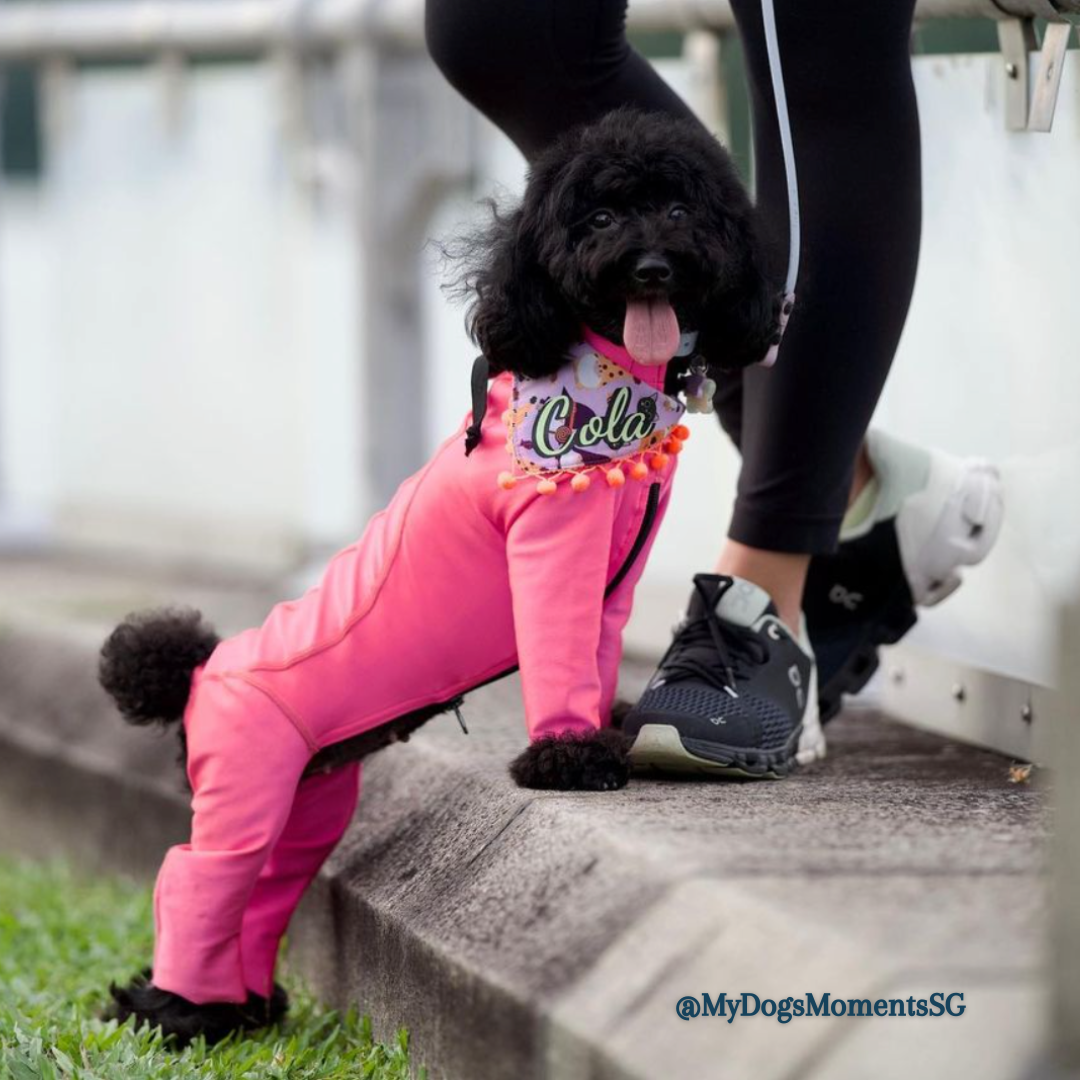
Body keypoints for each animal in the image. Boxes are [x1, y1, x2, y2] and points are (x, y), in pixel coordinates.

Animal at [99, 109, 777, 1045]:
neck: (604, 371)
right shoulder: (550, 545)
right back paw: (173, 1014)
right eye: (598, 219)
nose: (651, 267)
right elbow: (558, 656)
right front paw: (568, 758)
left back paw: (243, 1009)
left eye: (680, 210)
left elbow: (595, 656)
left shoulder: (616, 572)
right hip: (241, 782)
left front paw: (609, 730)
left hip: (306, 803)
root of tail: (200, 673)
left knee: (268, 889)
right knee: (194, 878)